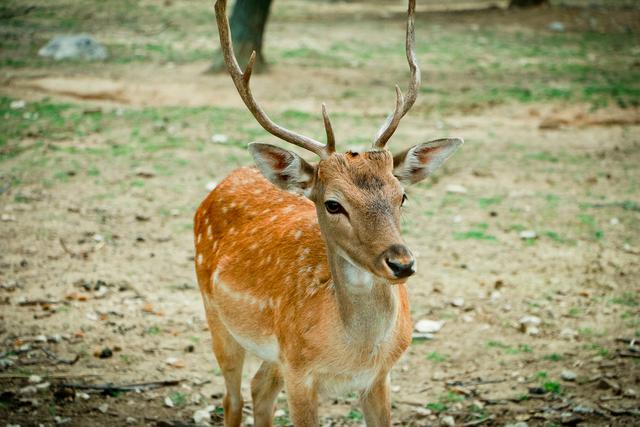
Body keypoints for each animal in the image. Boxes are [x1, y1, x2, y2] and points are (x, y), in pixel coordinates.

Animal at [192, 1, 462, 426]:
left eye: (402, 195)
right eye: (333, 203)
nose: (401, 263)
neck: (354, 355)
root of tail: (229, 178)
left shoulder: (380, 376)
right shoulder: (300, 372)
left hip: (272, 353)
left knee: (259, 387)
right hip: (216, 314)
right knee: (232, 397)